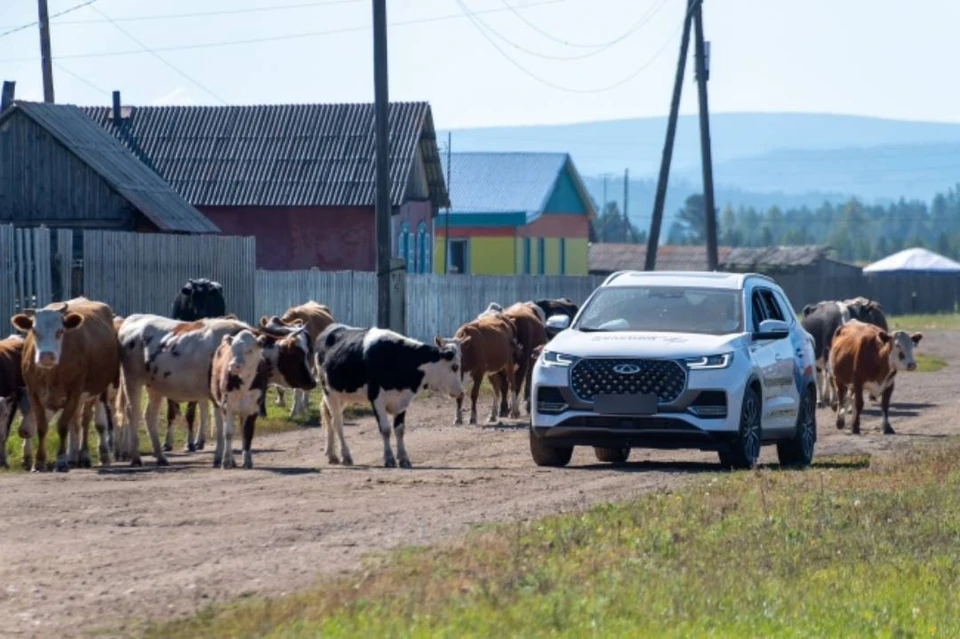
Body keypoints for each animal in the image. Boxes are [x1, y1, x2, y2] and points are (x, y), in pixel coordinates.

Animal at [10, 298, 120, 472]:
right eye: (34, 331)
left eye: (60, 331)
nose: (46, 356)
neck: (51, 373)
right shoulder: (34, 393)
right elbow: (42, 426)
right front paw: (39, 461)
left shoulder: (74, 392)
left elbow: (62, 426)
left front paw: (61, 460)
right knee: (76, 423)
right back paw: (74, 458)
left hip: (94, 392)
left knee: (87, 421)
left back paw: (86, 456)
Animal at [316, 324, 464, 470]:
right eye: (455, 366)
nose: (461, 392)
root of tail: (331, 327)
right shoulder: (376, 399)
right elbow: (386, 430)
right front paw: (389, 459)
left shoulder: (402, 400)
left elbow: (399, 430)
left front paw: (404, 459)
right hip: (329, 392)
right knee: (337, 423)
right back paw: (345, 456)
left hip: (340, 395)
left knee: (329, 418)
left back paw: (331, 454)